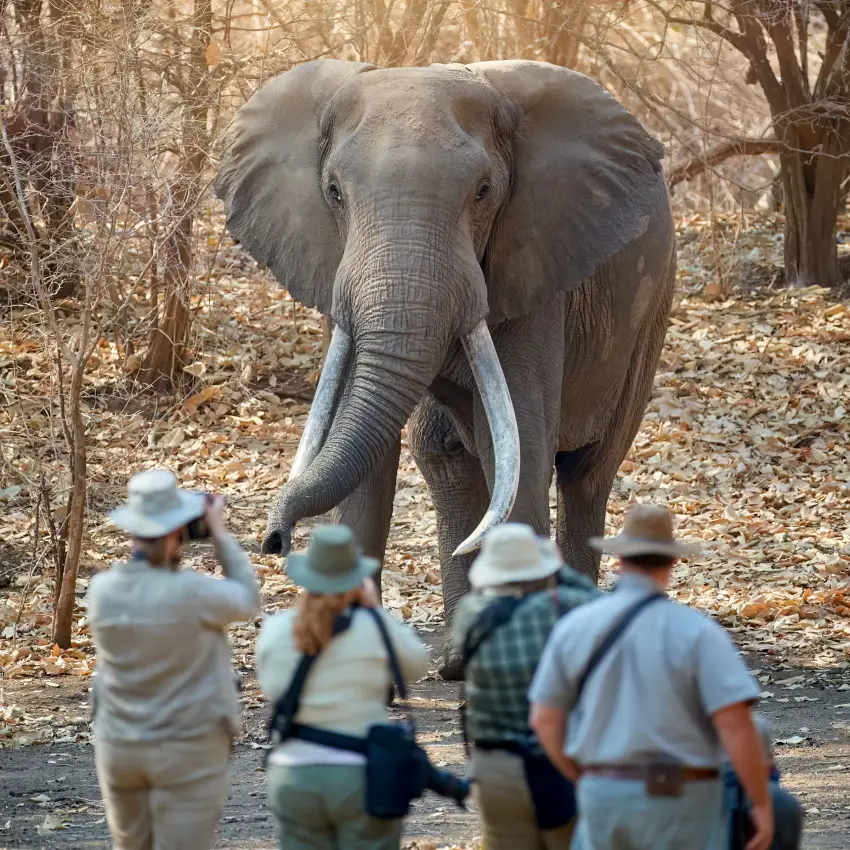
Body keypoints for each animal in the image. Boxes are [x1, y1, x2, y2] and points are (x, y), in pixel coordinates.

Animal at [215, 59, 676, 679]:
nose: (273, 539)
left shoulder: (533, 265)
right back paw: (459, 658)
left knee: (585, 473)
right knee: (449, 458)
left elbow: (522, 443)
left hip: (649, 317)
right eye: (333, 191)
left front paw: (517, 669)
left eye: (483, 192)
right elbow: (369, 457)